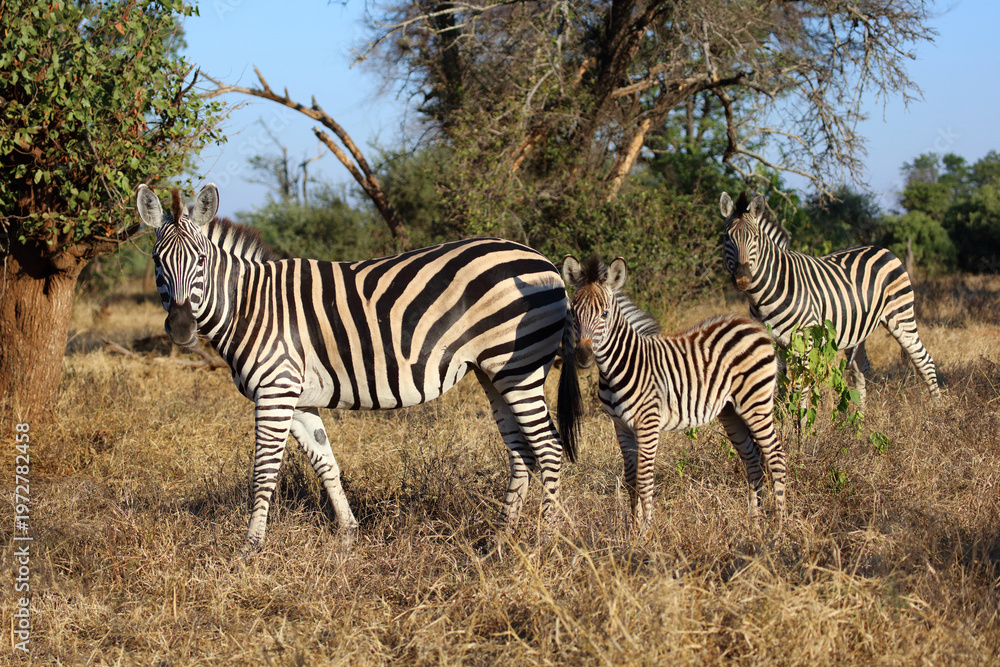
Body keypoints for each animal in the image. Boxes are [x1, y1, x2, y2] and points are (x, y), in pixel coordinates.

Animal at [136, 183, 582, 552]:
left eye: (201, 260)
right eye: (157, 261)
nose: (181, 328)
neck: (250, 304)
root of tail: (544, 260)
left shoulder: (275, 390)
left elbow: (264, 471)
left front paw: (250, 547)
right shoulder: (298, 399)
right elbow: (325, 463)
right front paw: (349, 535)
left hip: (520, 366)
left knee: (548, 446)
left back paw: (547, 540)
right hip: (494, 372)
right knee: (521, 451)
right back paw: (500, 539)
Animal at [563, 255, 787, 530]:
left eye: (604, 313)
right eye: (573, 312)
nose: (584, 357)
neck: (621, 364)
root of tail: (754, 326)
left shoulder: (648, 423)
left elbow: (644, 479)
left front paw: (647, 531)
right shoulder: (621, 426)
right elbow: (630, 479)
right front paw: (633, 530)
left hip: (755, 403)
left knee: (776, 456)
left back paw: (780, 525)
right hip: (731, 411)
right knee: (753, 460)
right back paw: (754, 523)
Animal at [720, 191, 941, 403]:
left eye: (755, 238)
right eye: (726, 238)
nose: (742, 278)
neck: (767, 291)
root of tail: (885, 250)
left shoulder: (805, 340)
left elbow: (801, 388)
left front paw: (797, 416)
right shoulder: (775, 342)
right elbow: (779, 386)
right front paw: (780, 414)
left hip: (901, 316)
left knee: (925, 361)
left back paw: (936, 409)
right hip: (858, 328)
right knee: (861, 368)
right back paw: (859, 414)